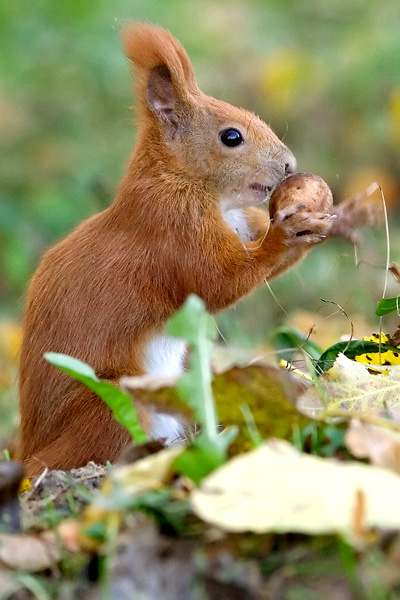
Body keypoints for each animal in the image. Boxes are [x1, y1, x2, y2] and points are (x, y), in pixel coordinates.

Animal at [17, 21, 332, 476]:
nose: (289, 165)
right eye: (231, 137)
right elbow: (217, 281)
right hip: (112, 405)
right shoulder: (173, 228)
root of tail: (30, 458)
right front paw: (288, 232)